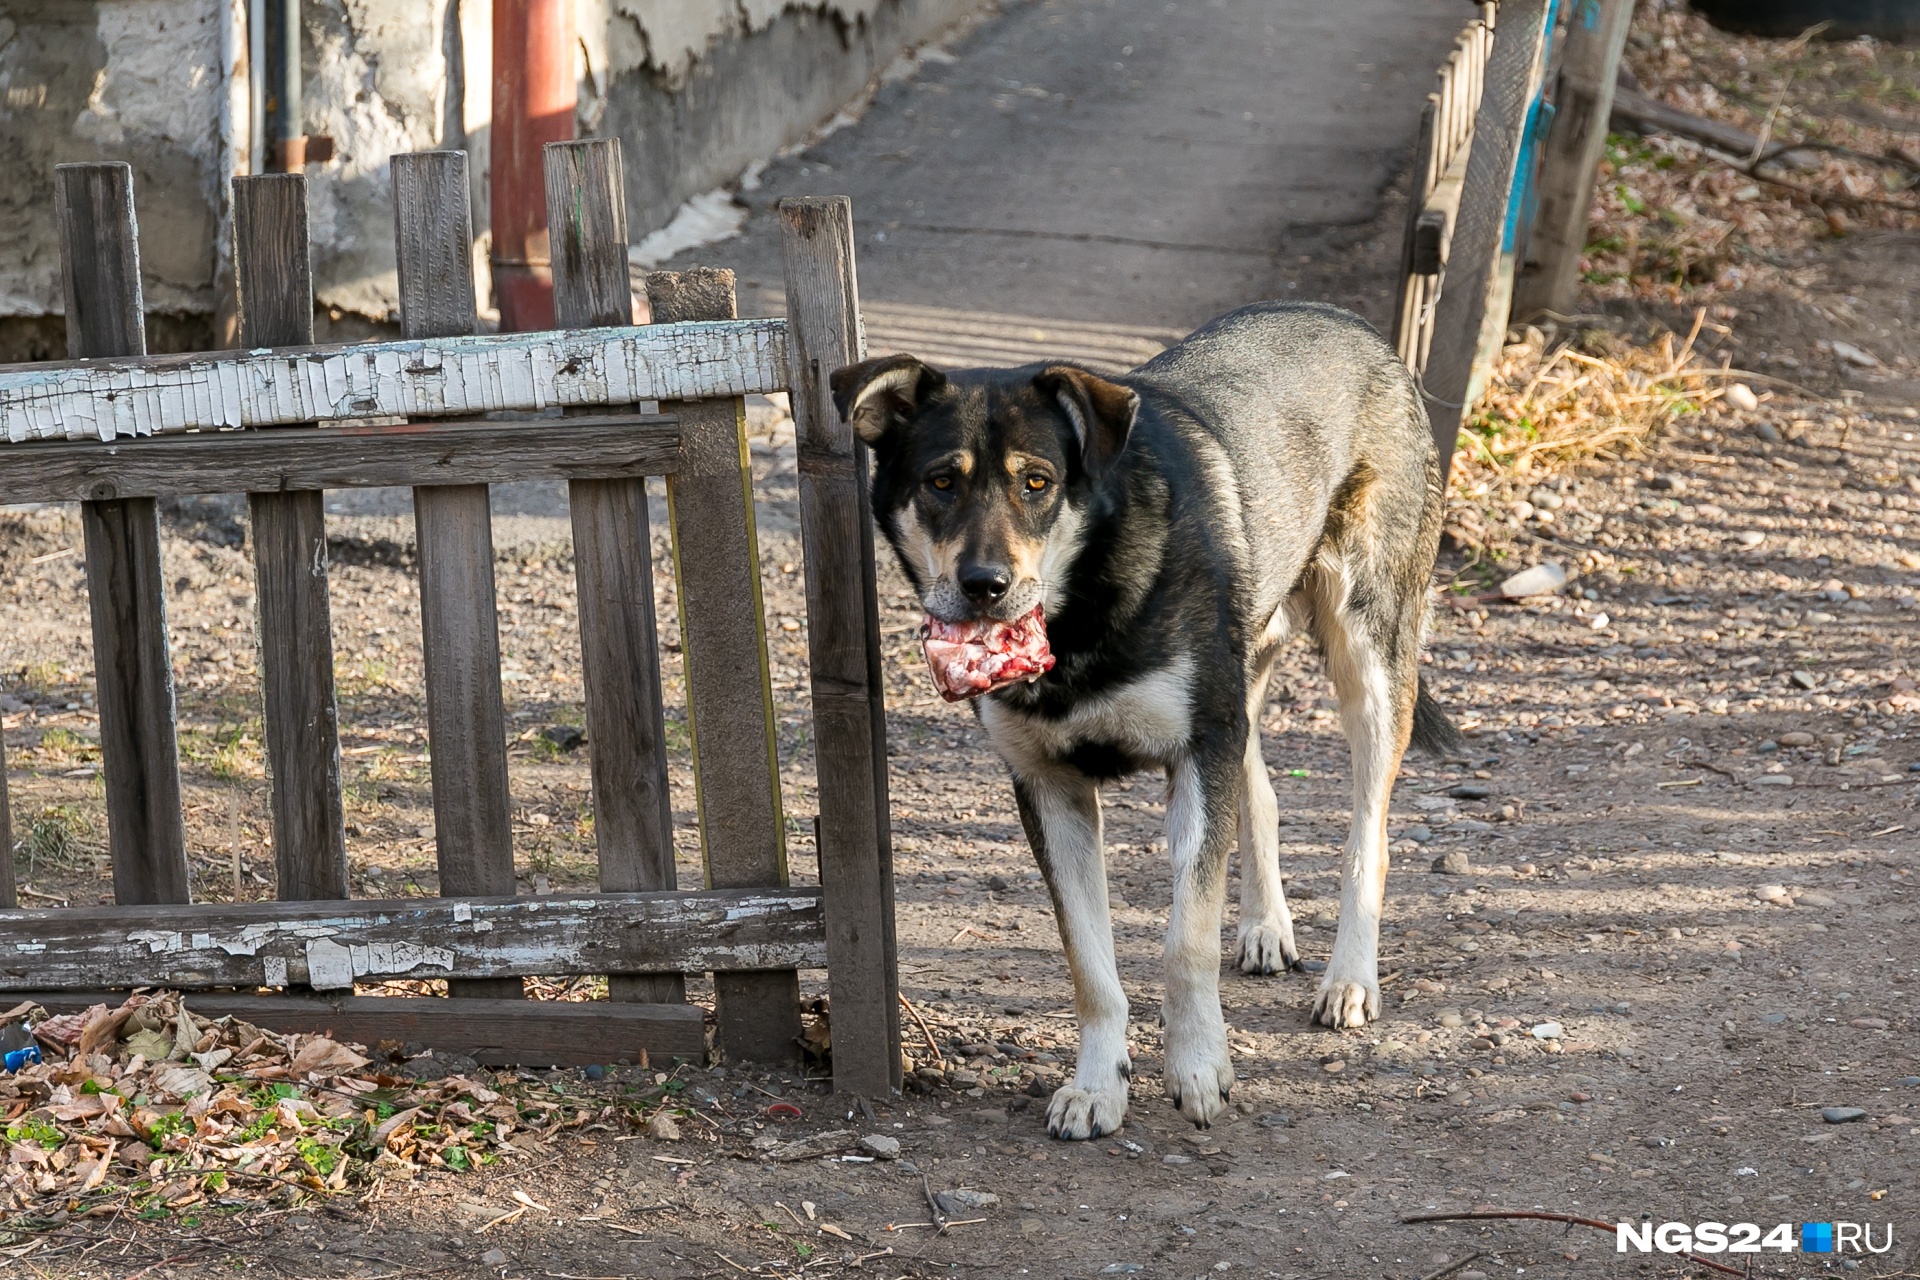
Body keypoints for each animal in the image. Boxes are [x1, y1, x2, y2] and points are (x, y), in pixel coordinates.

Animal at [829, 303, 1451, 1143]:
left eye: (1037, 482)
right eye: (939, 482)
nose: (984, 585)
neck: (1083, 607)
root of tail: (1351, 324)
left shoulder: (1198, 751)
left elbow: (1185, 940)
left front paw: (1198, 1068)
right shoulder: (1050, 788)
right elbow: (1090, 965)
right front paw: (1098, 1086)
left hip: (1369, 656)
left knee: (1368, 837)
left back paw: (1350, 978)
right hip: (1244, 675)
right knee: (1262, 789)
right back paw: (1265, 925)